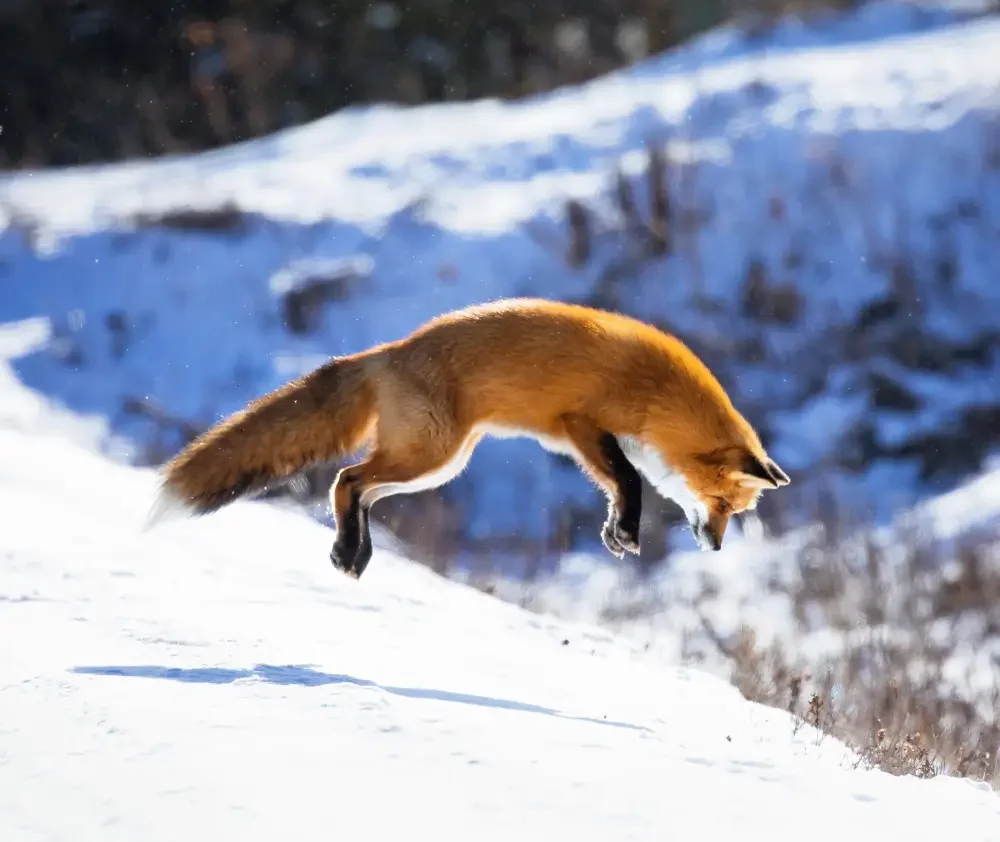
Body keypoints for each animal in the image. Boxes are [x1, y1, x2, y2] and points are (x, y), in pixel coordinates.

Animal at [149, 298, 790, 579]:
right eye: (723, 504)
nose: (716, 548)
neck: (659, 397)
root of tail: (388, 352)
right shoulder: (580, 424)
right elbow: (629, 479)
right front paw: (628, 531)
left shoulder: (590, 441)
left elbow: (617, 486)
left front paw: (615, 532)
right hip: (429, 454)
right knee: (346, 479)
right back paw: (349, 550)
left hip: (440, 464)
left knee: (360, 489)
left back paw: (354, 552)